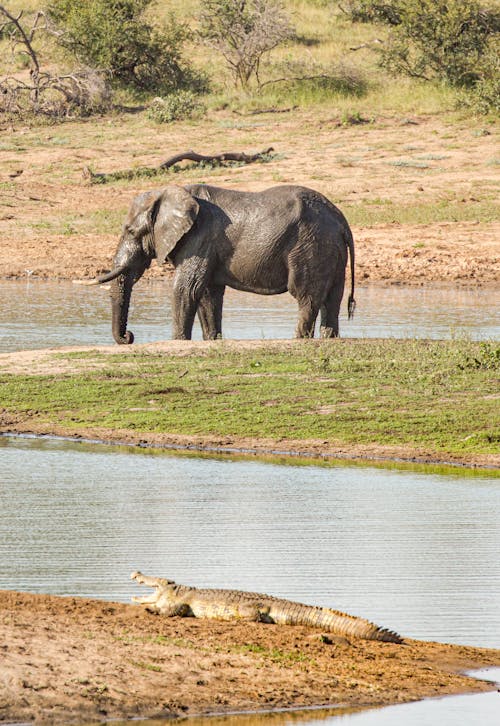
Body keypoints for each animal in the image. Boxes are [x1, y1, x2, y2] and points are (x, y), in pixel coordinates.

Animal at [86, 185, 356, 344]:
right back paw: (329, 339)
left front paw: (178, 342)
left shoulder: (200, 237)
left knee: (306, 296)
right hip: (329, 250)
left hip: (311, 246)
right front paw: (212, 341)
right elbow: (207, 294)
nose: (129, 337)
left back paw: (299, 340)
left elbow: (186, 289)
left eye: (131, 231)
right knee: (332, 298)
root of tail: (341, 220)